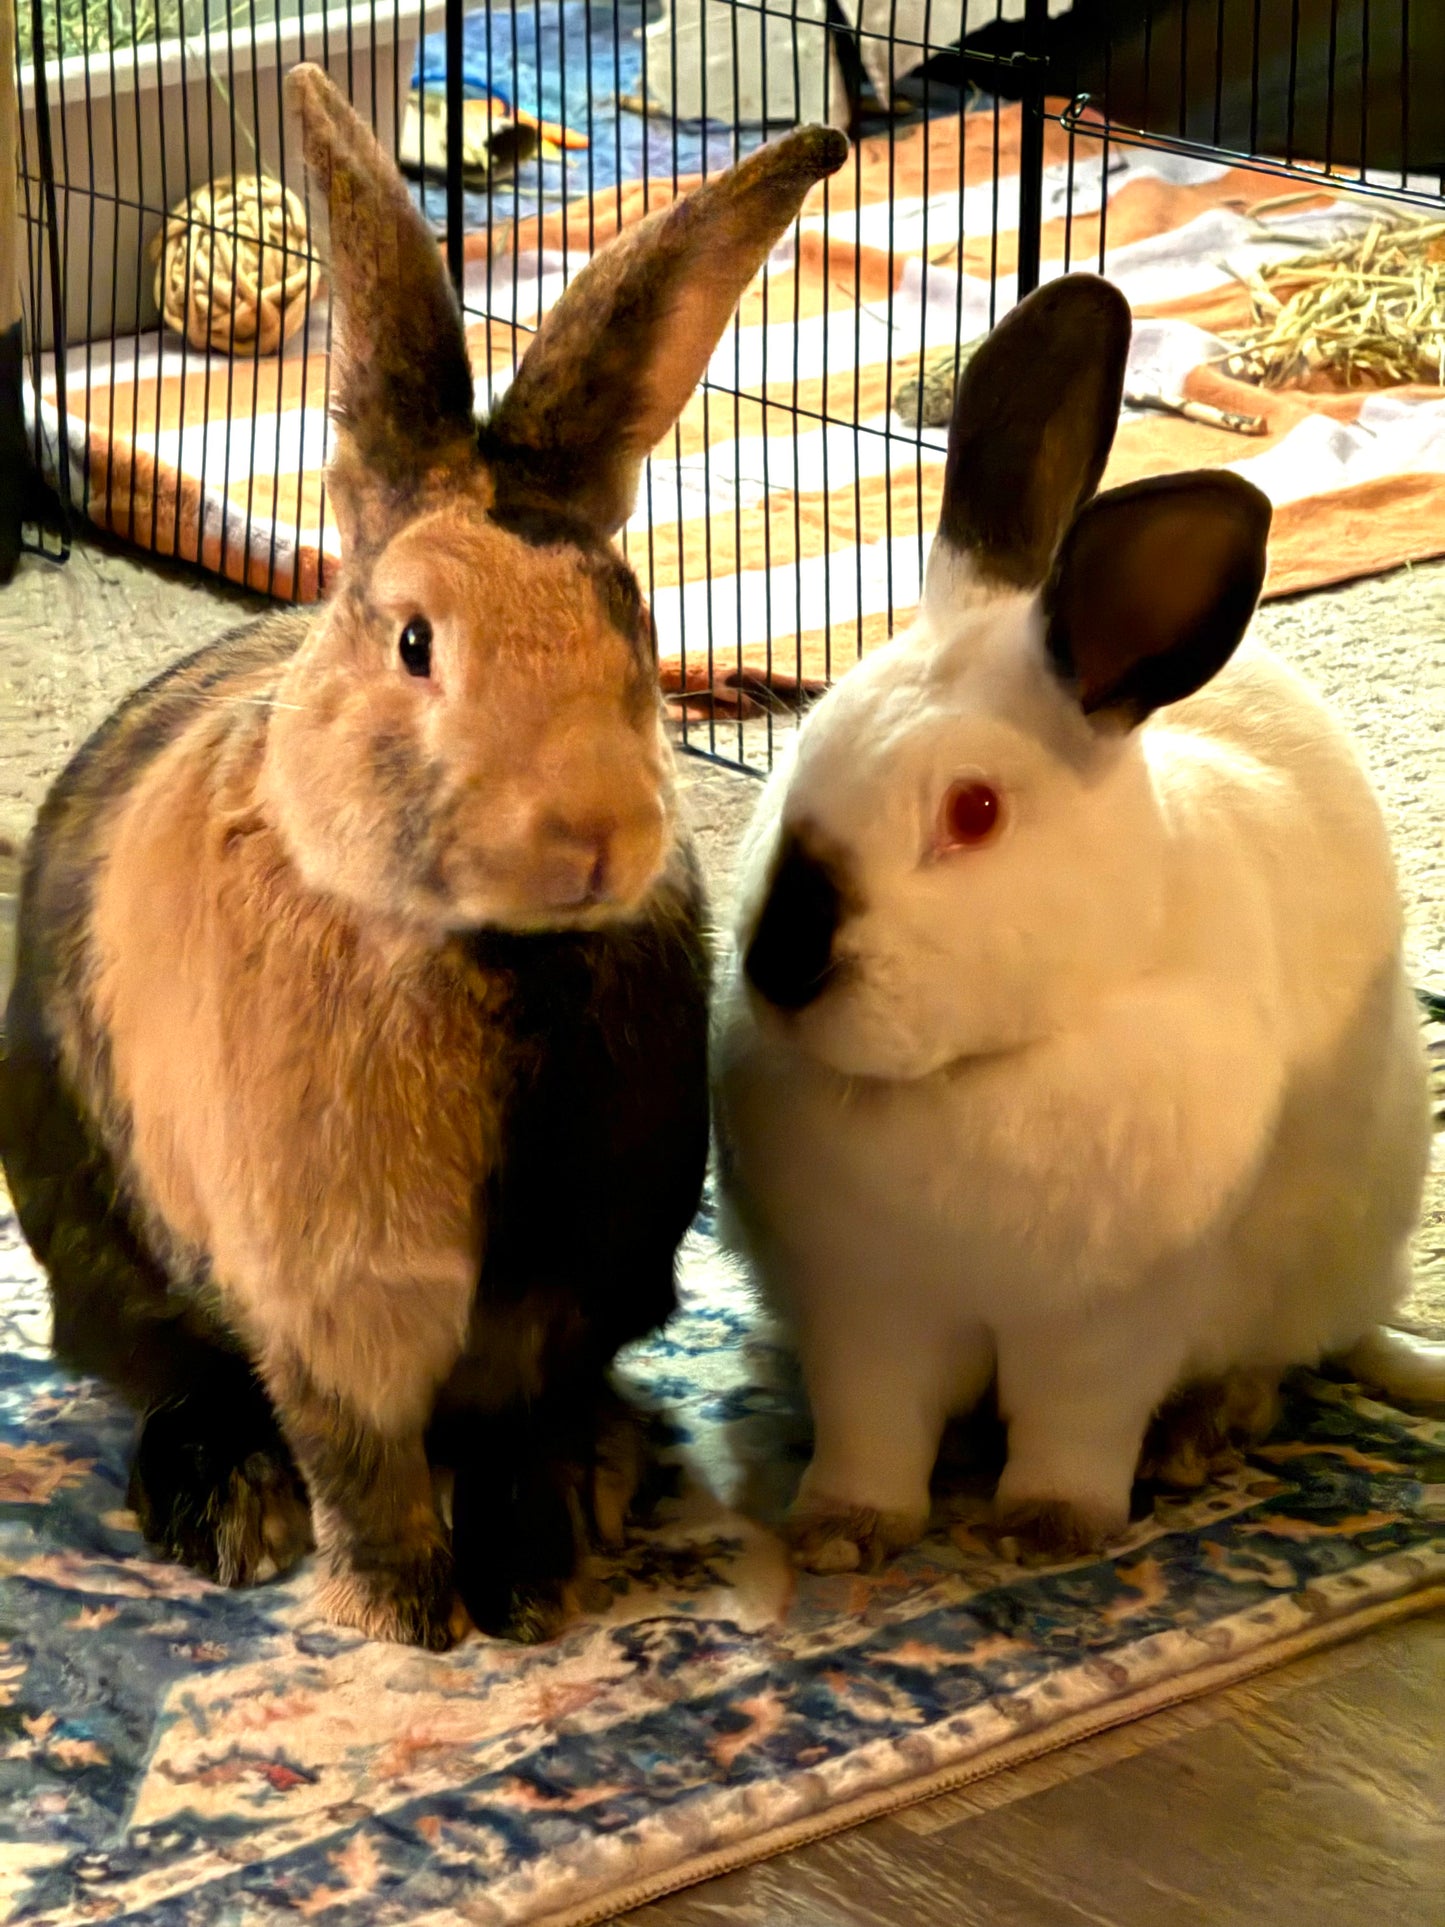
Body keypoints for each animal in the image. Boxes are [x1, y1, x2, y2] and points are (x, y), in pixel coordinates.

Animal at [0, 63, 848, 1647]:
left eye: (631, 622)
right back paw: (228, 1512)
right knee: (174, 1373)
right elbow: (361, 1451)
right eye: (412, 642)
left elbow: (525, 1424)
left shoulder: (565, 1291)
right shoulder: (336, 1293)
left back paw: (613, 1469)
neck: (489, 957)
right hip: (93, 1236)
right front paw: (407, 1617)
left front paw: (534, 1580)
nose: (593, 834)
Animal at [713, 272, 1441, 1575]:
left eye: (973, 811)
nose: (779, 964)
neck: (976, 1071)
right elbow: (869, 1430)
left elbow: (1074, 1425)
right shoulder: (866, 1314)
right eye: (806, 743)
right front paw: (844, 1533)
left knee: (1276, 1361)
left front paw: (1050, 1532)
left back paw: (1200, 1434)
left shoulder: (1105, 1325)